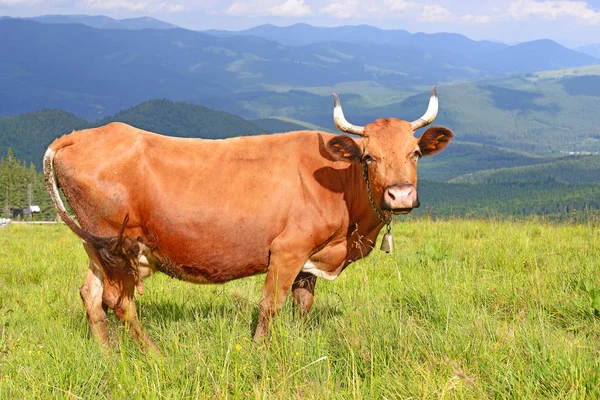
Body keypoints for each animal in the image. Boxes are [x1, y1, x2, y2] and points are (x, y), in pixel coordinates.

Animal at [44, 88, 452, 350]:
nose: (400, 194)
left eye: (415, 153)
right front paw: (259, 352)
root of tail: (79, 136)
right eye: (369, 157)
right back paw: (153, 354)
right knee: (118, 300)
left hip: (96, 247)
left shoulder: (311, 258)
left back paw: (107, 355)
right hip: (116, 244)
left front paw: (298, 344)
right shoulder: (288, 249)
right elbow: (270, 305)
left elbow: (303, 305)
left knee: (91, 295)